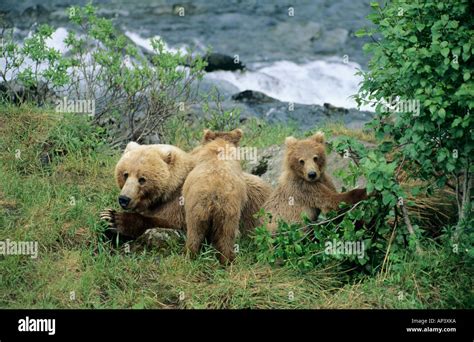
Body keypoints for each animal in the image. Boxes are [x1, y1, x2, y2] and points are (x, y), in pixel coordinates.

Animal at [100, 140, 270, 239]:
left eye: (142, 179)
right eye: (125, 174)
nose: (124, 199)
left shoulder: (184, 202)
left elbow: (174, 223)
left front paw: (113, 218)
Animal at [183, 129, 246, 264]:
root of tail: (214, 196)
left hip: (197, 211)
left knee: (195, 234)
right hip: (227, 214)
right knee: (225, 236)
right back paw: (228, 260)